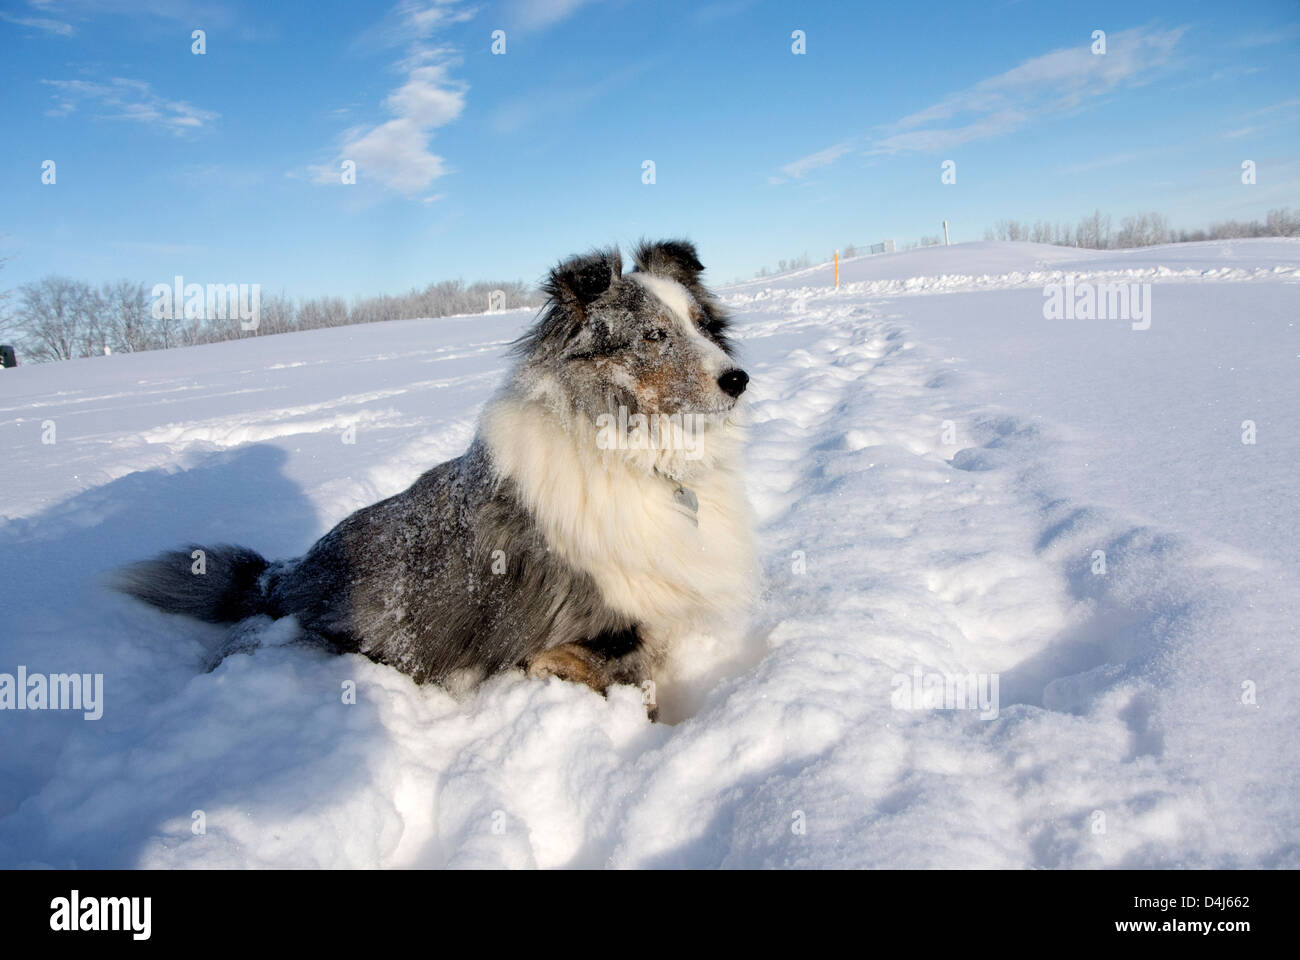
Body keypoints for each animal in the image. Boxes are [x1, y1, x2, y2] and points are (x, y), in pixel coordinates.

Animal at [119, 239, 759, 712]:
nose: (739, 379)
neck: (630, 452)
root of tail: (280, 577)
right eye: (653, 335)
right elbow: (612, 674)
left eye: (702, 324)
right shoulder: (594, 629)